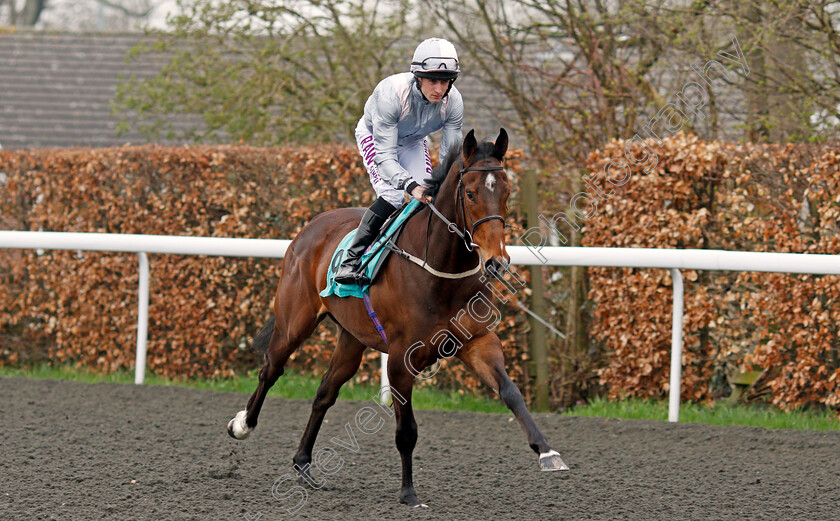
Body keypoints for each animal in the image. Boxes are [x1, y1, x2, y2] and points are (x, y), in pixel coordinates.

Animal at [228, 128, 572, 506]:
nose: (497, 262)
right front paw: (409, 492)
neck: (441, 273)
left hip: (352, 338)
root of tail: (311, 226)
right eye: (470, 193)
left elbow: (510, 392)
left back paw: (303, 464)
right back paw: (242, 425)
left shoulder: (477, 341)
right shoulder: (400, 359)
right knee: (271, 369)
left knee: (325, 391)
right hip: (294, 322)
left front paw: (547, 451)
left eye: (507, 191)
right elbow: (406, 430)